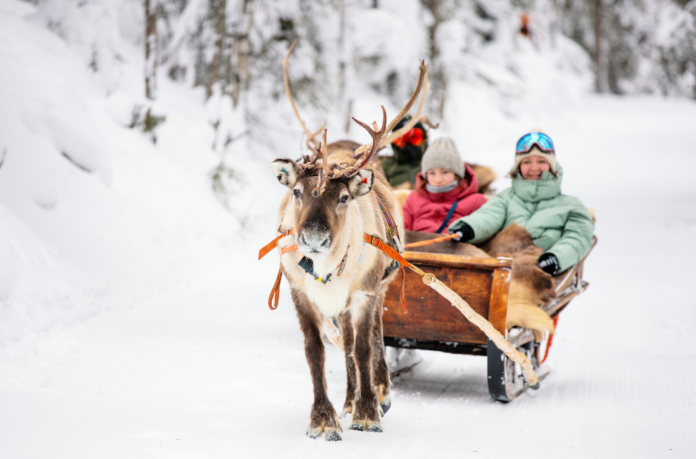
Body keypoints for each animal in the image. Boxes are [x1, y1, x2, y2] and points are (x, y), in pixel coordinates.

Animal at [265, 41, 429, 441]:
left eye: (342, 198)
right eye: (296, 192)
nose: (313, 237)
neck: (327, 269)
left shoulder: (364, 293)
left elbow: (365, 348)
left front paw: (368, 412)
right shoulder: (301, 294)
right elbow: (317, 352)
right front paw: (324, 419)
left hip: (380, 288)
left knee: (370, 339)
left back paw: (378, 393)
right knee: (345, 346)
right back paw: (348, 399)